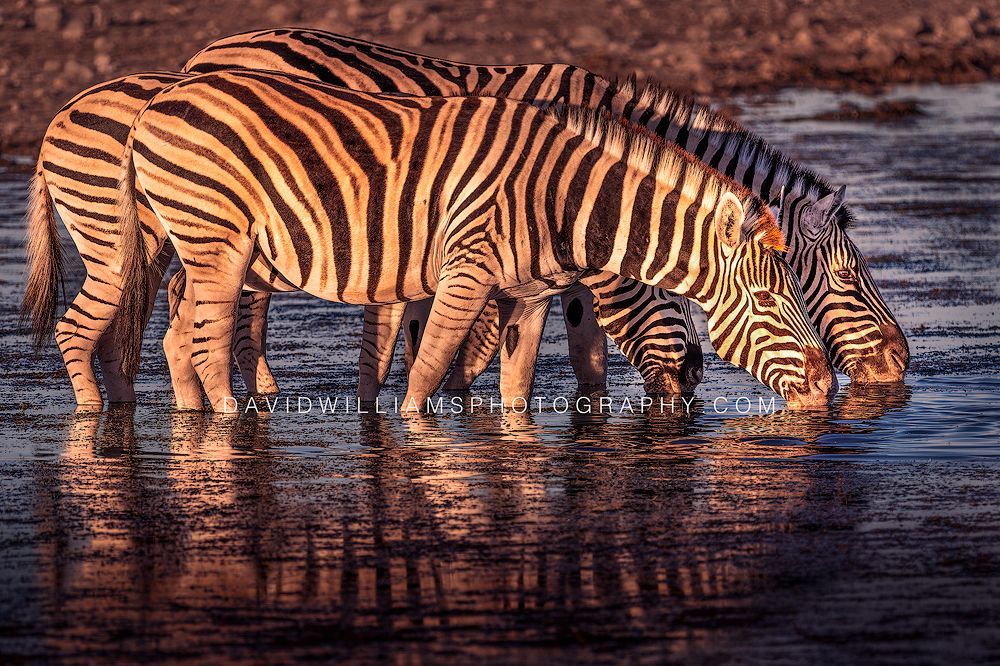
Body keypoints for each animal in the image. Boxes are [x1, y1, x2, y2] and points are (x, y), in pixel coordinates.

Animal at [112, 70, 835, 412]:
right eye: (769, 303)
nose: (827, 387)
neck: (562, 197)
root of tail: (158, 100)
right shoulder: (466, 270)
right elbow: (429, 367)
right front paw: (416, 438)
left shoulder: (530, 294)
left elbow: (515, 385)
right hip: (218, 243)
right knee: (205, 344)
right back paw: (226, 431)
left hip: (206, 248)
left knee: (179, 334)